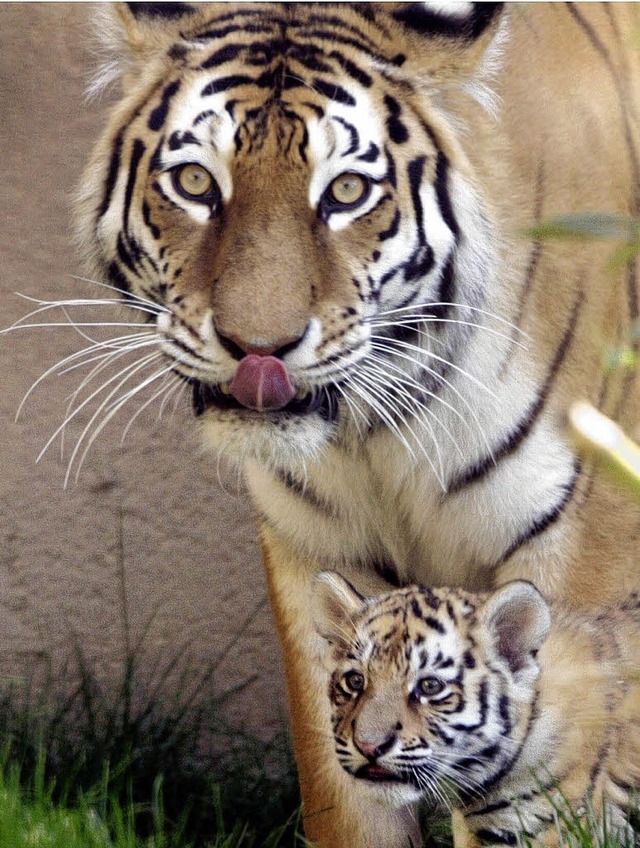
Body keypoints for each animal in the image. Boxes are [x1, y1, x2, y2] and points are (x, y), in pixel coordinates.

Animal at [76, 3, 640, 844]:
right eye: (195, 182)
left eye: (345, 191)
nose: (258, 349)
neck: (381, 430)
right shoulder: (319, 561)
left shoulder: (583, 565)